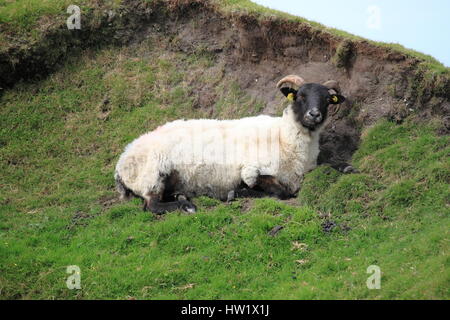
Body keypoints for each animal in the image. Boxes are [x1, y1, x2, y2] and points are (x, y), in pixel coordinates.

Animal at [114, 75, 350, 214]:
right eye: (300, 96)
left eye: (327, 100)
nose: (314, 114)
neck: (284, 138)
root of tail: (121, 162)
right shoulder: (253, 171)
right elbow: (280, 191)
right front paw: (237, 194)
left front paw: (346, 166)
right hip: (152, 175)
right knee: (151, 205)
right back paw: (186, 205)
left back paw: (181, 196)